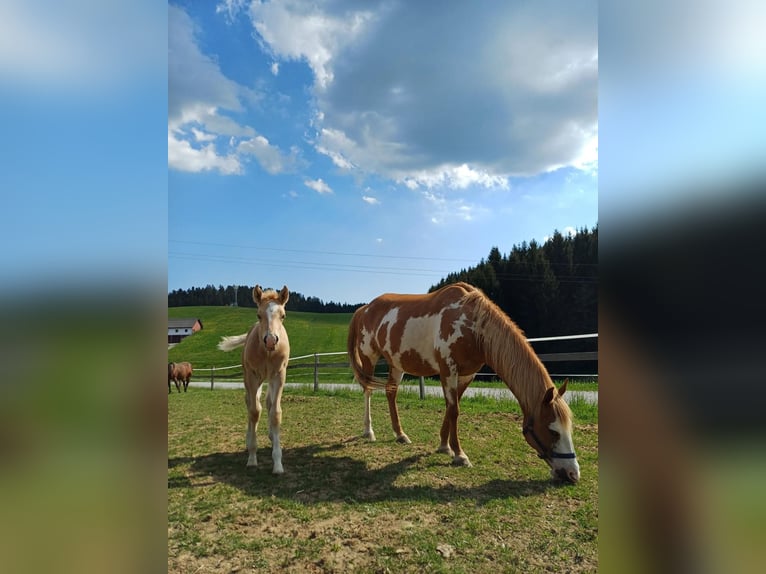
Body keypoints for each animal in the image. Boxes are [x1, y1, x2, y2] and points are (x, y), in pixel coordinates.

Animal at [217, 285, 290, 474]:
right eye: (259, 315)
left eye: (283, 315)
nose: (271, 340)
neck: (267, 353)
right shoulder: (252, 376)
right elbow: (254, 411)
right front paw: (252, 457)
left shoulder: (278, 375)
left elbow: (275, 413)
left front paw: (278, 464)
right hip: (250, 379)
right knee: (251, 404)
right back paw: (249, 438)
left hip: (268, 380)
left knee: (268, 403)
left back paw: (271, 436)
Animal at [347, 282, 580, 483]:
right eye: (553, 431)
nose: (573, 474)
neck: (473, 326)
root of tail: (365, 308)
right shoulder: (448, 370)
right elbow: (454, 410)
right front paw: (460, 455)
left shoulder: (467, 374)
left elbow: (452, 408)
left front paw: (444, 446)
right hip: (369, 357)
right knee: (368, 391)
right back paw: (369, 431)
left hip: (397, 363)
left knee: (390, 392)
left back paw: (400, 434)